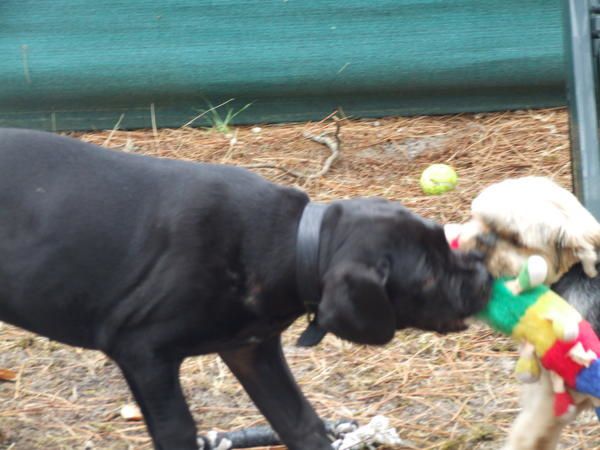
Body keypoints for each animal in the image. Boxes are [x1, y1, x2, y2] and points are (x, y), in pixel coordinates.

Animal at [0, 127, 492, 450]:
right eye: (427, 274)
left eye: (442, 239)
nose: (486, 275)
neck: (293, 243)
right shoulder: (144, 353)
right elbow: (179, 431)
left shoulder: (251, 350)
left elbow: (301, 422)